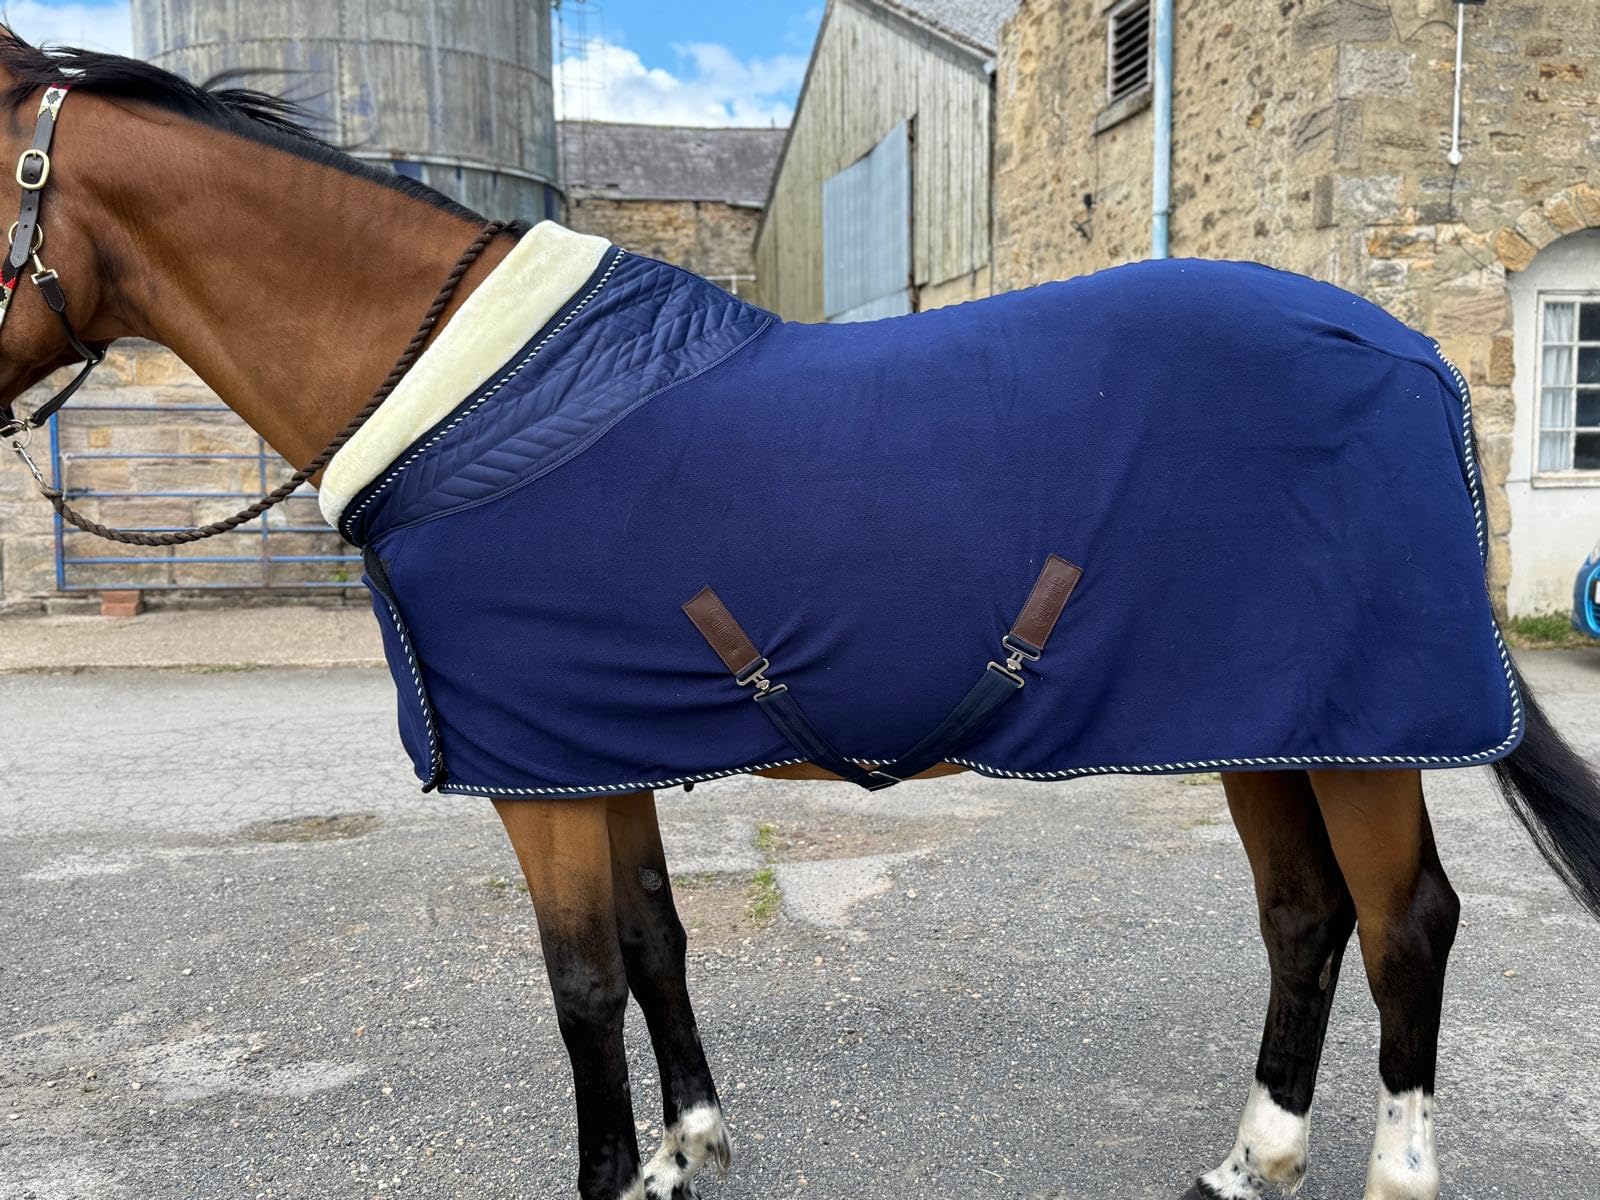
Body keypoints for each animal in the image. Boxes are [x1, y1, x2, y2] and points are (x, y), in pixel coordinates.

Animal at [1, 32, 1597, 1200]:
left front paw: (618, 1175)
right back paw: (1253, 1158)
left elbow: (581, 979)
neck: (466, 391)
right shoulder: (594, 747)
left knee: (1405, 924)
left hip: (1358, 736)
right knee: (1303, 916)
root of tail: (1410, 351)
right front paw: (689, 1146)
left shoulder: (538, 776)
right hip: (1265, 724)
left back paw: (1390, 1173)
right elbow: (653, 939)